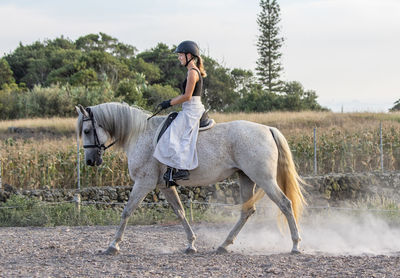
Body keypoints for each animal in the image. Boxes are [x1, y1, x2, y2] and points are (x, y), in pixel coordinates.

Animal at [75, 101, 306, 254]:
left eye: (86, 130)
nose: (90, 161)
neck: (140, 134)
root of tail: (268, 128)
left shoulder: (143, 183)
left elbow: (126, 211)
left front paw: (112, 245)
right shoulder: (165, 186)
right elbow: (180, 212)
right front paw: (191, 244)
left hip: (264, 179)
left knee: (285, 204)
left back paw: (295, 245)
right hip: (246, 178)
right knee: (247, 211)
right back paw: (223, 245)